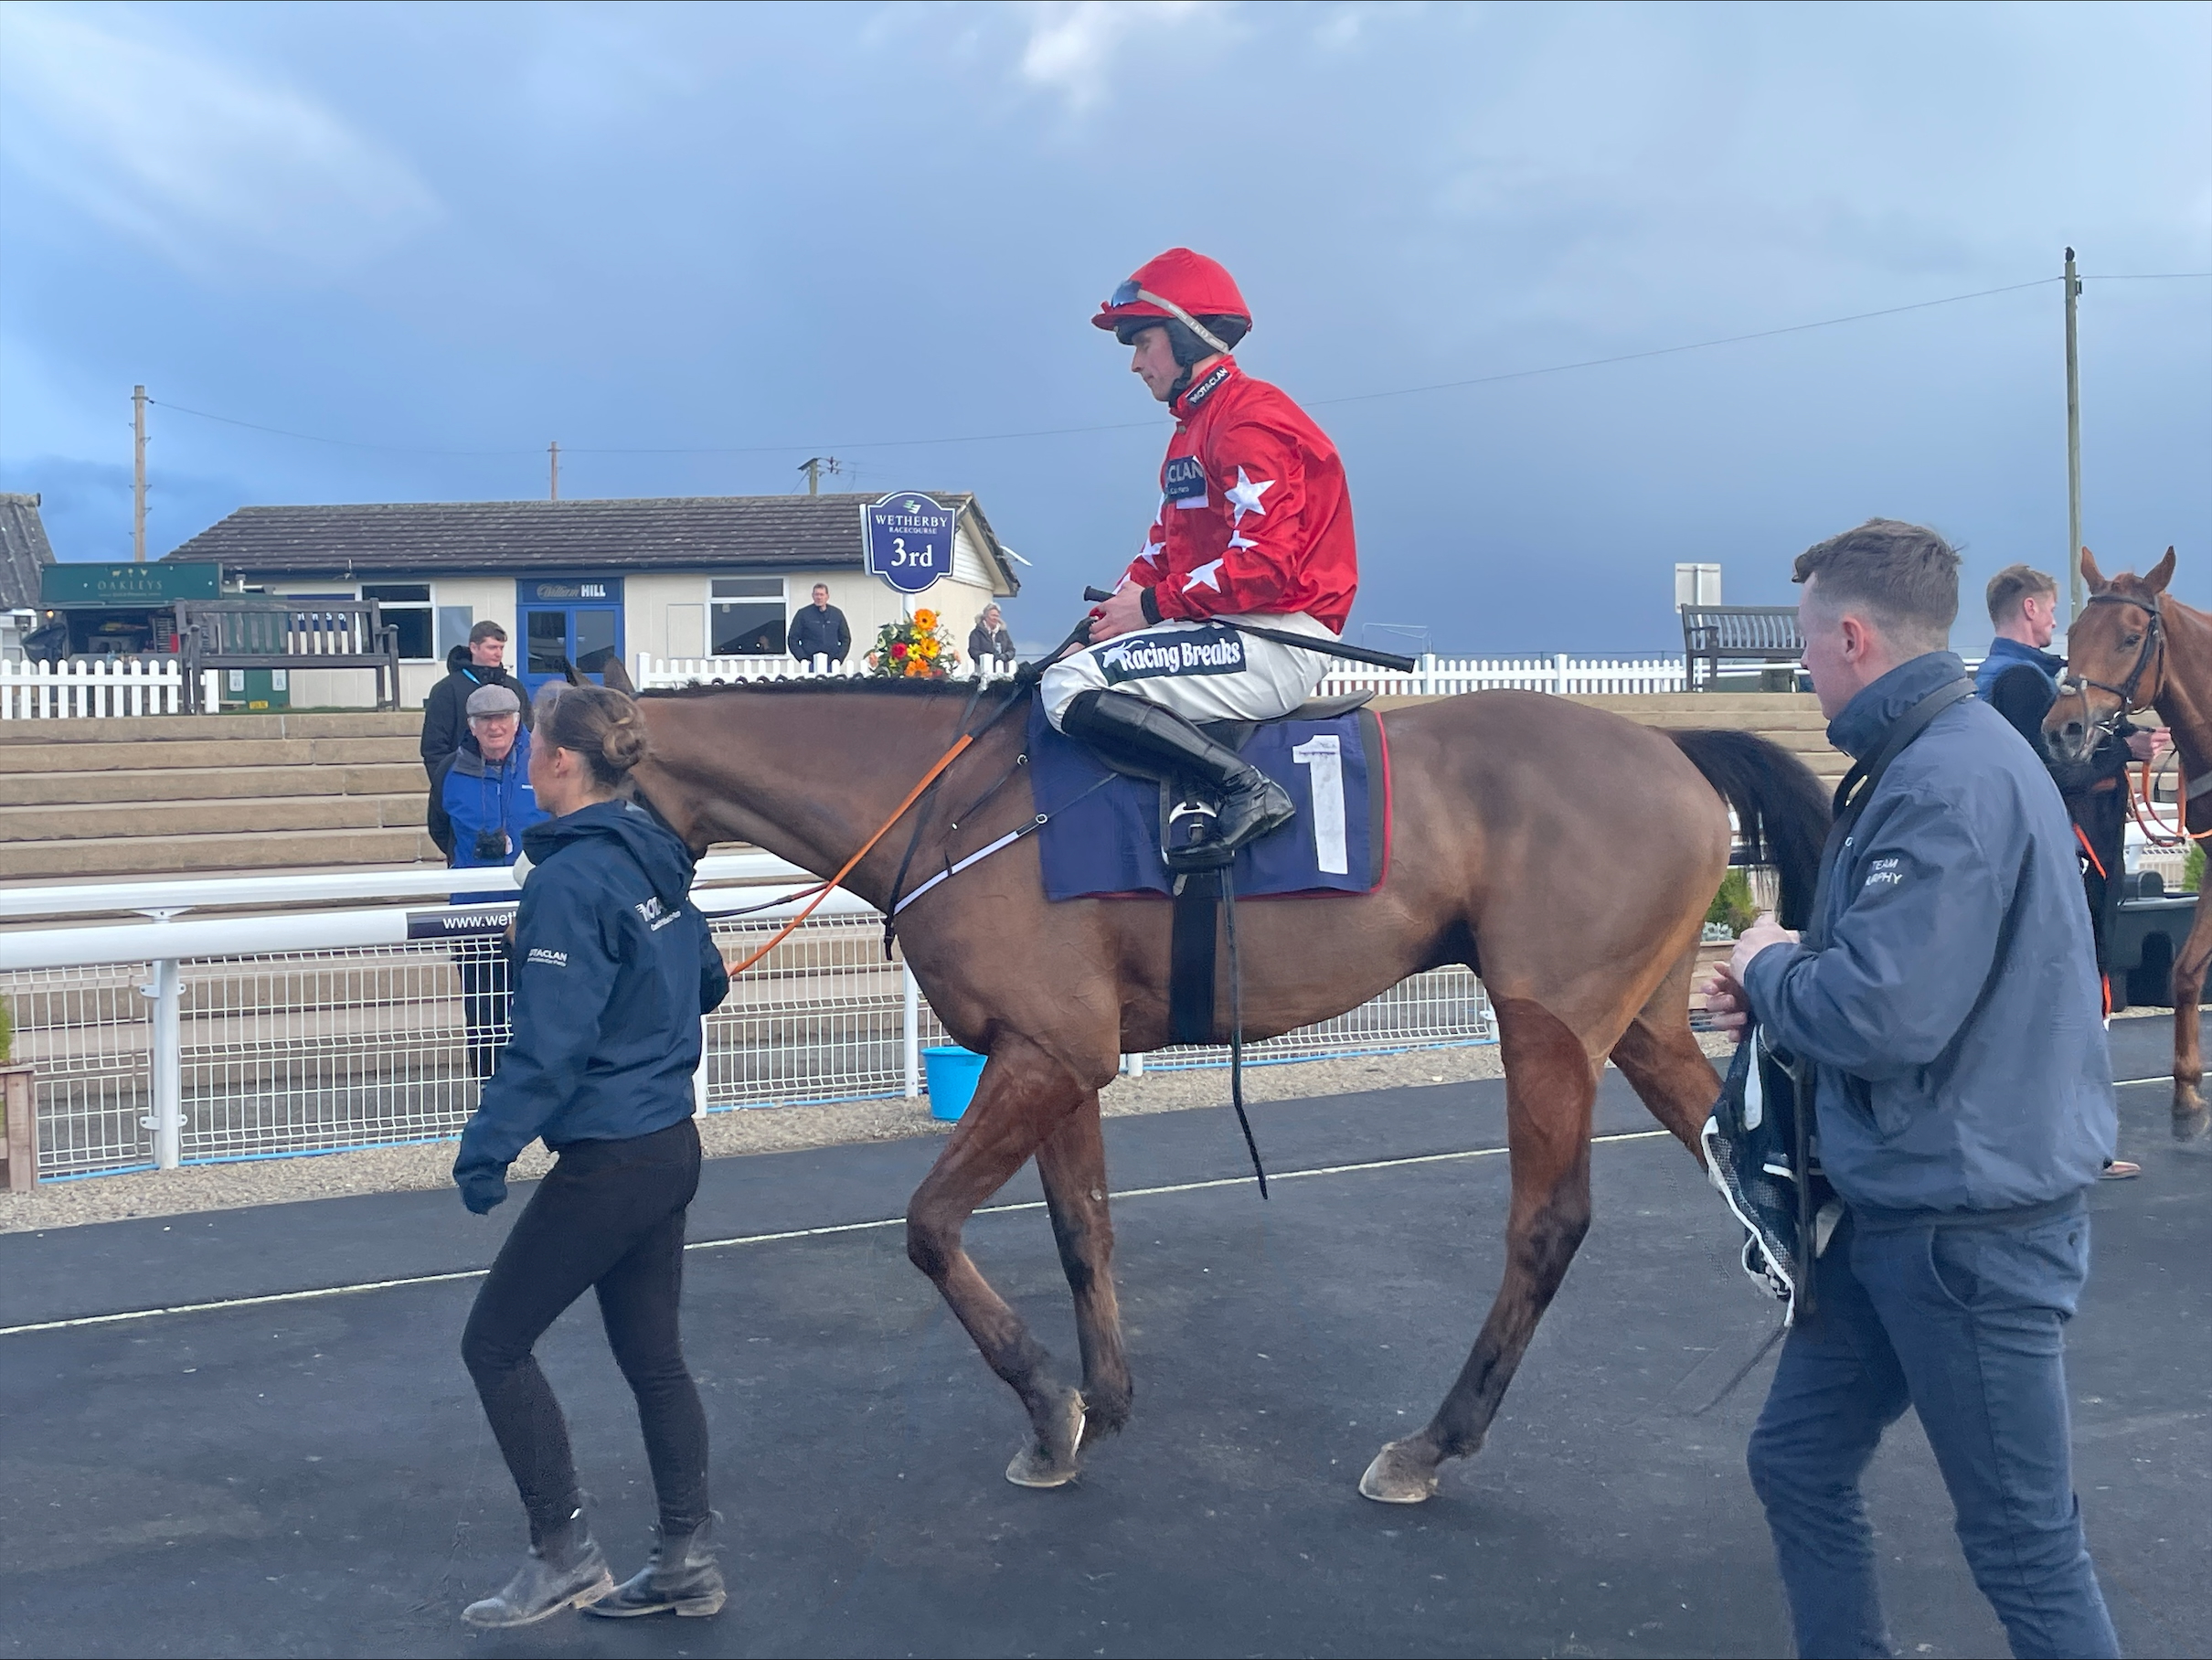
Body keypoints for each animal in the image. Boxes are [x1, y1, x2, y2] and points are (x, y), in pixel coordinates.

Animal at [614, 668, 1823, 1505]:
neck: (954, 805)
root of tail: (1665, 745)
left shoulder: (1048, 1049)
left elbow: (928, 1225)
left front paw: (1045, 1402)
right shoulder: (1056, 1055)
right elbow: (1082, 1228)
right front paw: (1097, 1404)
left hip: (1551, 1025)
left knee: (1547, 1222)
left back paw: (1430, 1444)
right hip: (1643, 1023)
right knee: (1749, 1170)